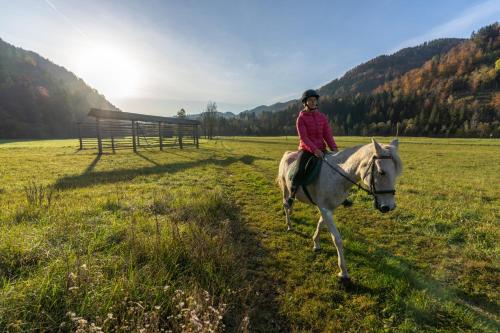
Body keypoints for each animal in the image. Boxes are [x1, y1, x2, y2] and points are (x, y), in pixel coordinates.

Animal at [278, 137, 402, 278]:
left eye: (396, 173)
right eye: (381, 172)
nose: (389, 207)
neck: (337, 175)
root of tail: (287, 154)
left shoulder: (327, 208)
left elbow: (320, 224)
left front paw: (316, 243)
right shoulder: (325, 209)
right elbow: (336, 238)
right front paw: (343, 271)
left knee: (290, 205)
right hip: (285, 189)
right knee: (286, 204)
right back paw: (289, 225)